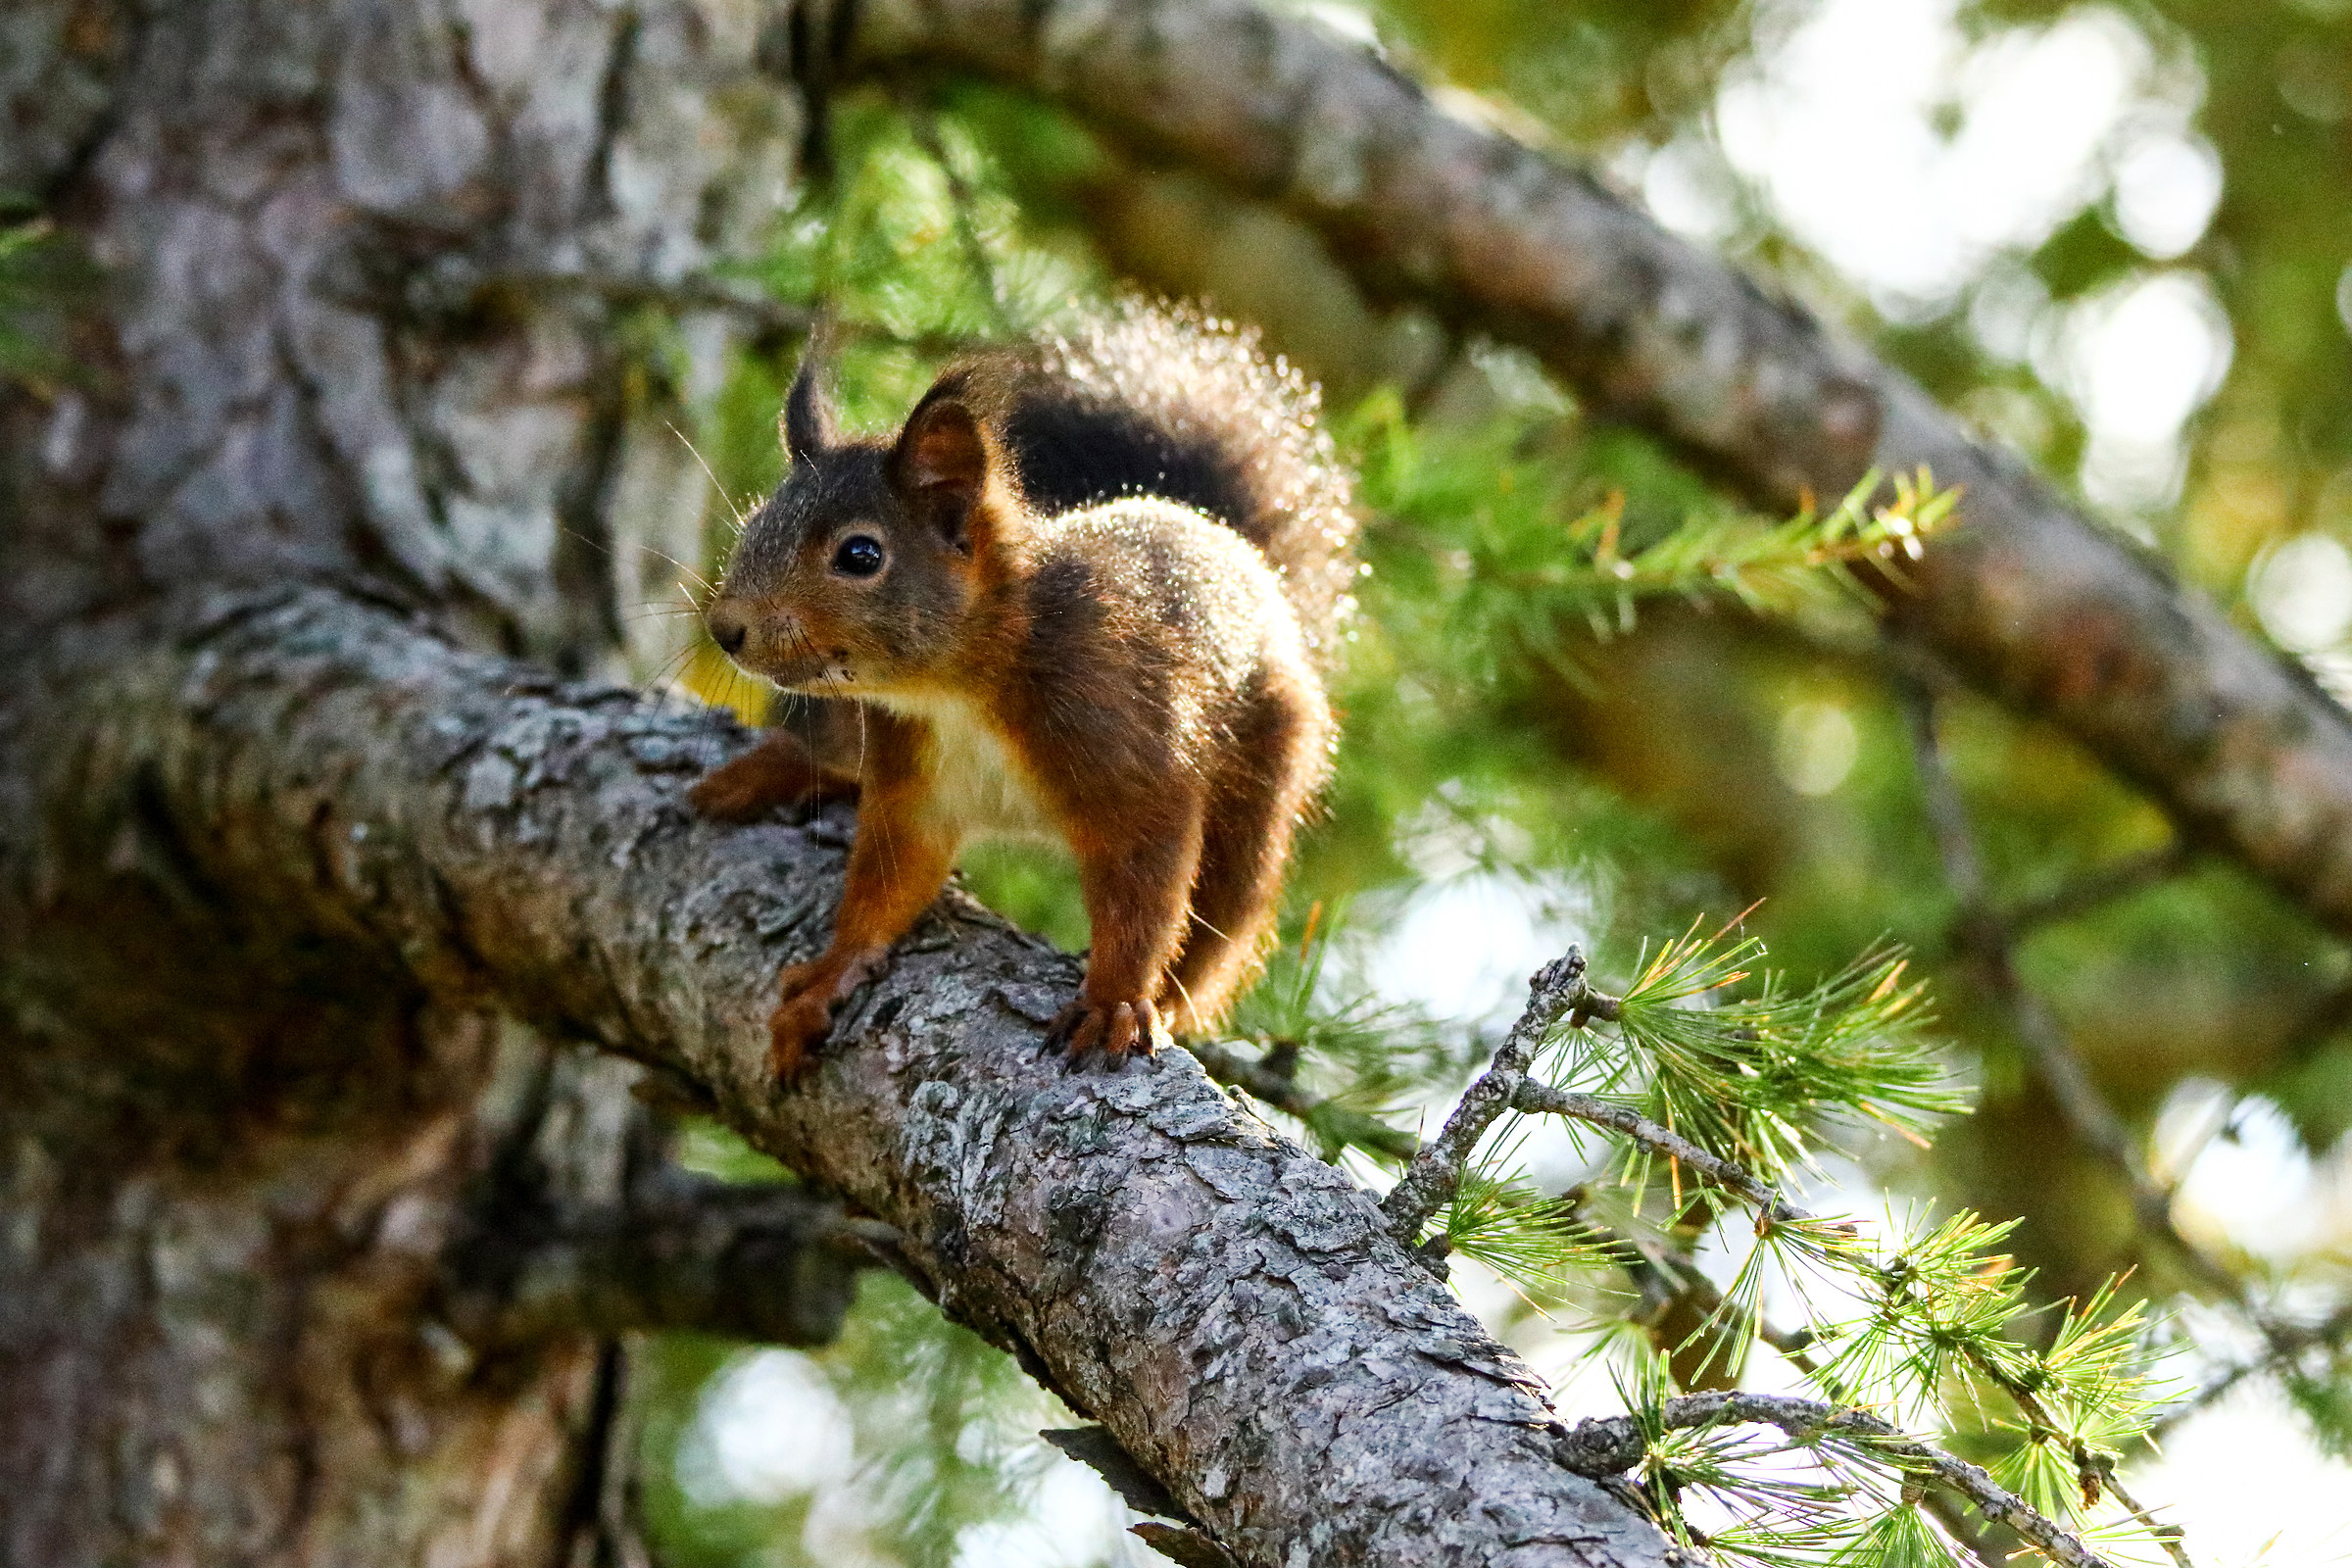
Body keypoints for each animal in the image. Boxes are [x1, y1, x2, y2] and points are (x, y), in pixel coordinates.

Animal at [689, 301, 1358, 1079]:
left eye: (860, 554)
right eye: (754, 524)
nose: (726, 628)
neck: (953, 690)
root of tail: (1227, 540)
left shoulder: (1118, 733)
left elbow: (1145, 881)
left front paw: (1115, 1001)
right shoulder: (913, 782)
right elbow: (886, 882)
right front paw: (832, 972)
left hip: (1264, 776)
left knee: (1222, 918)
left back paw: (1177, 999)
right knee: (827, 748)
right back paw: (769, 772)